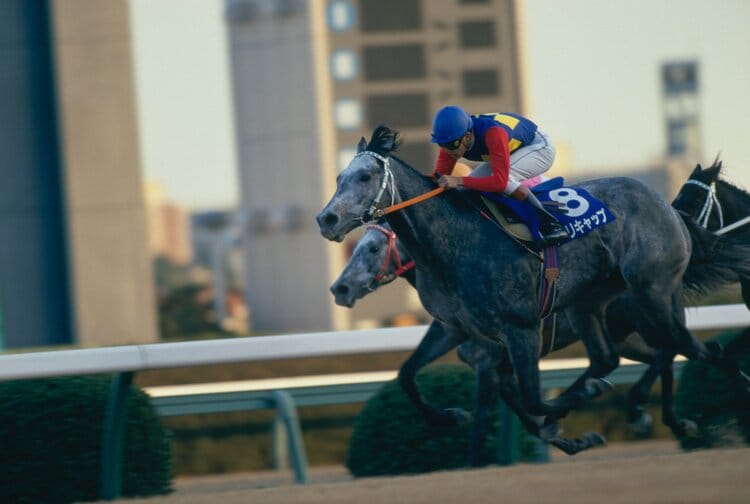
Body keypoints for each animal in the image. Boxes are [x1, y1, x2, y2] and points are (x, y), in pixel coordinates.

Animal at [317, 125, 750, 451]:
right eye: (338, 177)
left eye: (365, 176)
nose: (327, 219)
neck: (451, 243)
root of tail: (668, 208)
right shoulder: (455, 329)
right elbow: (407, 374)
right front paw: (449, 417)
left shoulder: (518, 331)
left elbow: (527, 400)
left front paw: (560, 422)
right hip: (594, 307)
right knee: (630, 355)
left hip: (651, 293)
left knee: (686, 347)